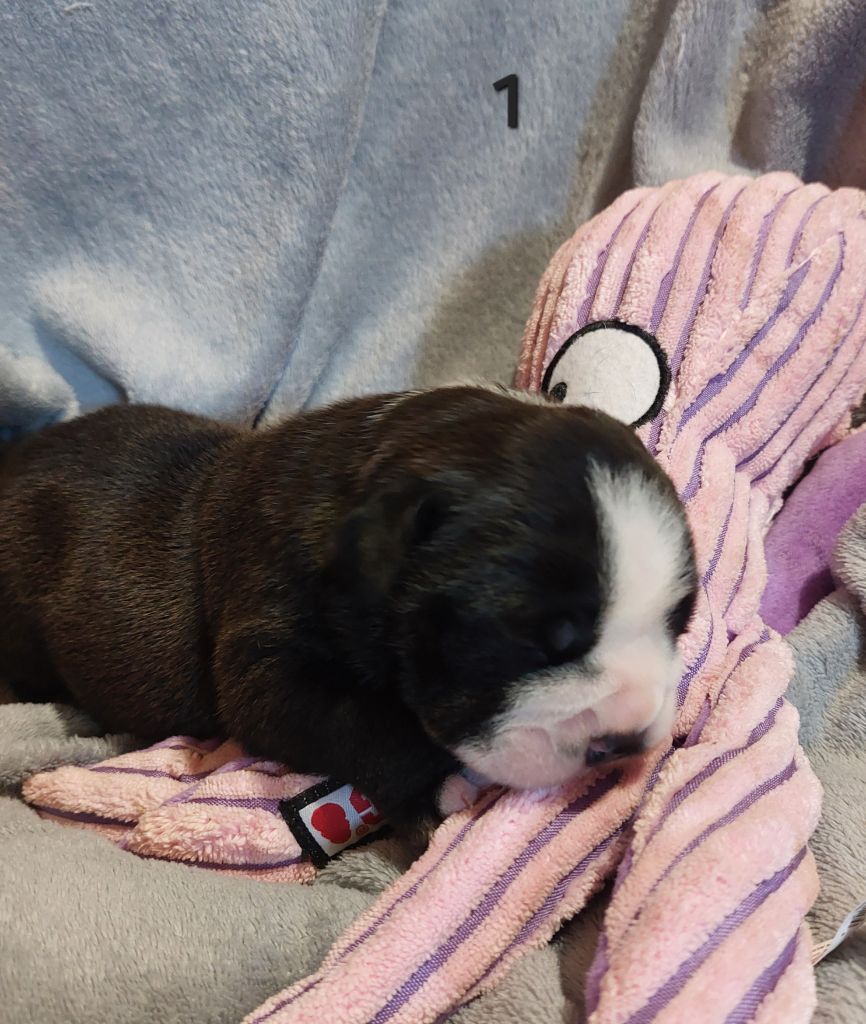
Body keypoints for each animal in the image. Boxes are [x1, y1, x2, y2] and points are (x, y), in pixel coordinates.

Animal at [0, 385, 697, 826]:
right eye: (540, 641)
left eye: (679, 624)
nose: (626, 740)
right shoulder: (270, 670)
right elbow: (369, 726)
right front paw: (441, 785)